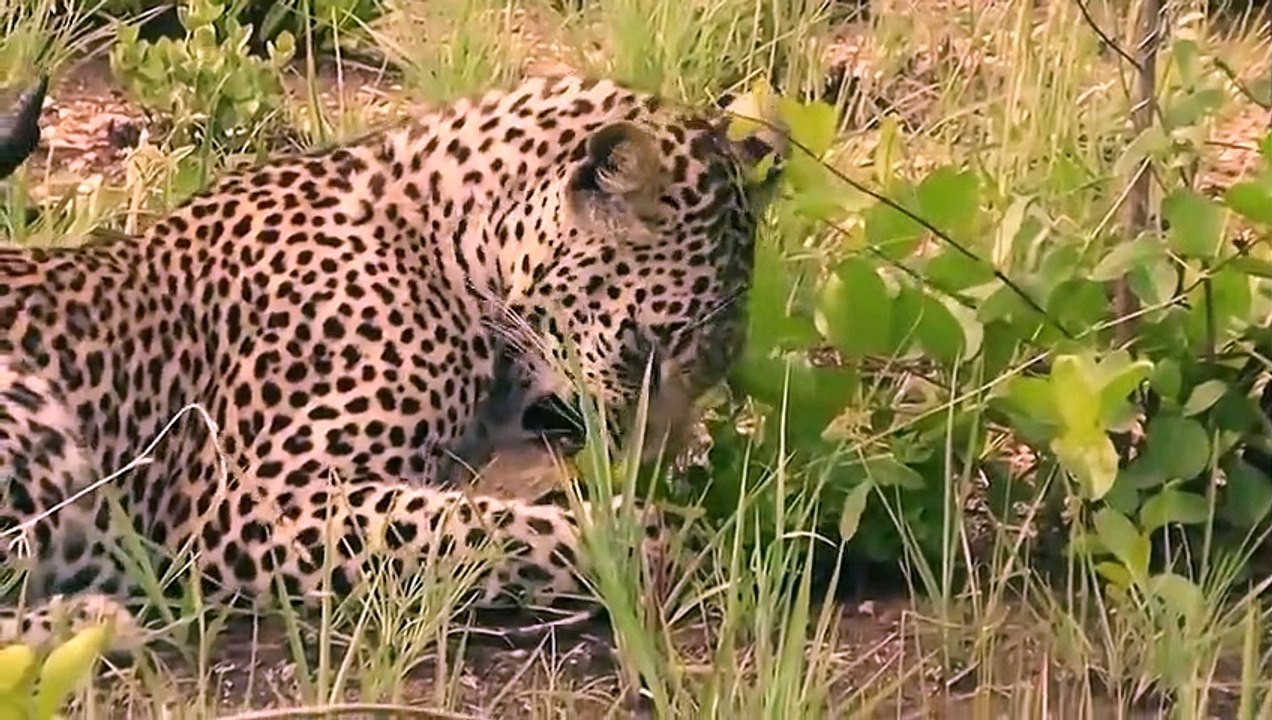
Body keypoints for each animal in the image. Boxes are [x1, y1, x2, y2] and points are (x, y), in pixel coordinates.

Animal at [0, 73, 788, 656]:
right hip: (34, 423)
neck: (446, 244)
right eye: (648, 350)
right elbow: (473, 529)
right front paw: (653, 536)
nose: (640, 457)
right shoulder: (245, 502)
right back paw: (85, 624)